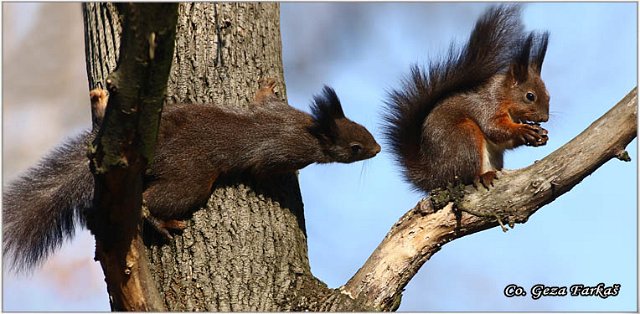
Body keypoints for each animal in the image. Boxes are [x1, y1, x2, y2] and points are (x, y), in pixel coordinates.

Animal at [3, 81, 380, 272]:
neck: (310, 130)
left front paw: (267, 86)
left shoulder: (278, 113)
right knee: (150, 201)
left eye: (363, 126)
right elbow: (265, 167)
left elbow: (260, 101)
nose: (377, 149)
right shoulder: (282, 149)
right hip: (191, 181)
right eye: (356, 147)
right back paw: (161, 222)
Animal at [382, 4, 552, 194]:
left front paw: (540, 135)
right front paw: (523, 130)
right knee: (466, 176)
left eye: (548, 95)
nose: (545, 118)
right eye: (530, 96)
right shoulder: (487, 105)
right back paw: (483, 176)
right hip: (465, 138)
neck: (503, 95)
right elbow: (494, 128)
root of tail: (435, 176)